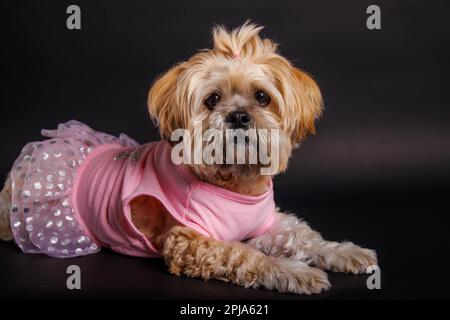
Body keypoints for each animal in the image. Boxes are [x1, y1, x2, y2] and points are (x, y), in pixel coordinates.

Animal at [0, 22, 376, 296]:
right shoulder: (191, 243)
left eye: (261, 97)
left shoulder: (268, 223)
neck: (235, 182)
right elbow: (247, 256)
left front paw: (343, 251)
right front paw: (292, 271)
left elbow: (302, 236)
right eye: (212, 100)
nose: (238, 116)